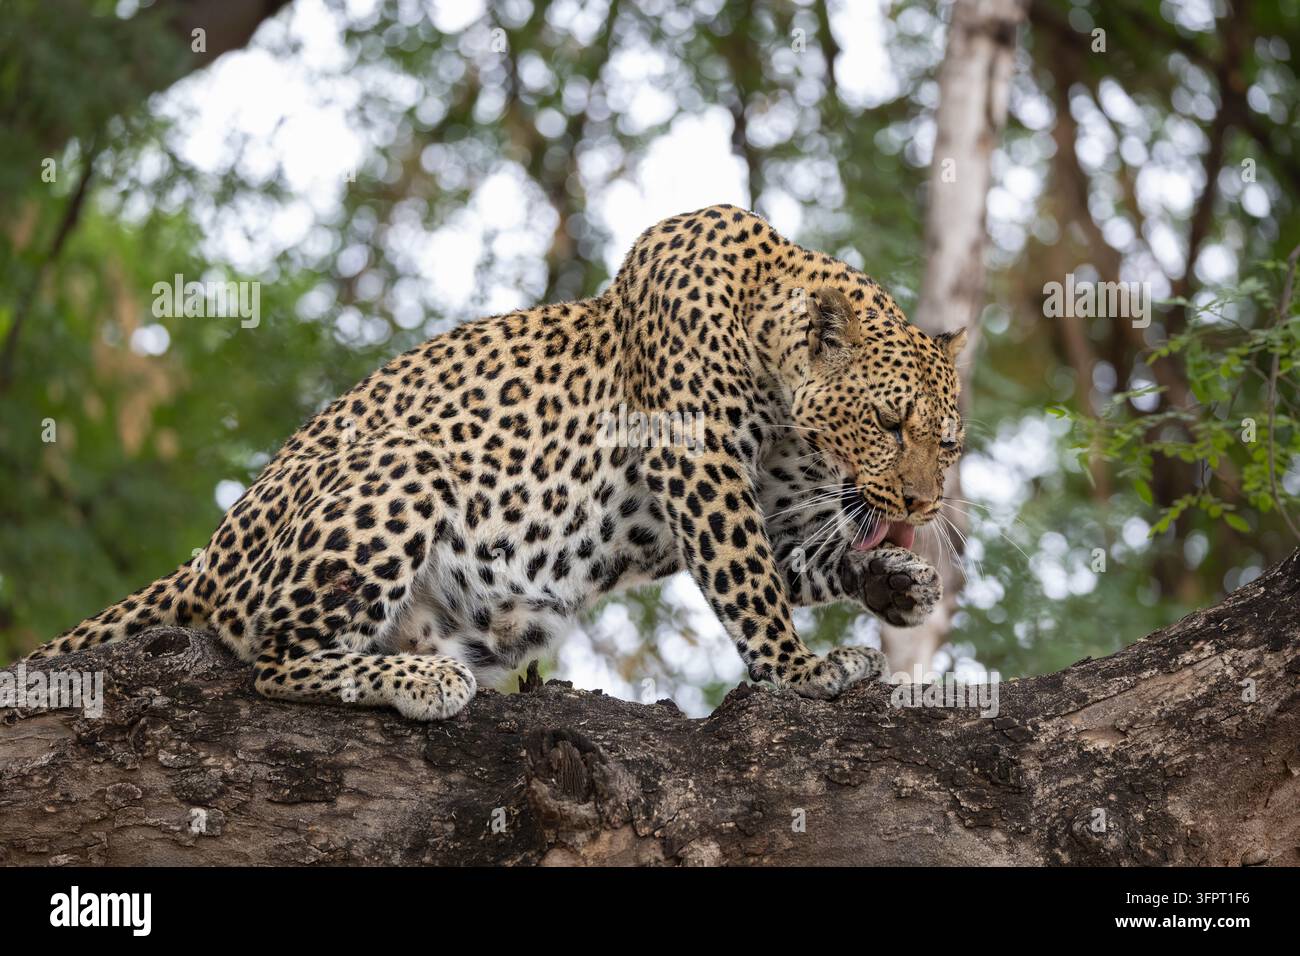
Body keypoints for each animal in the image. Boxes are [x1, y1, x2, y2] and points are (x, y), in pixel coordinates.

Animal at [23, 204, 967, 720]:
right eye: (888, 423)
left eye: (948, 444)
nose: (924, 507)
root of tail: (208, 555)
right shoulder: (698, 464)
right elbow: (749, 579)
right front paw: (801, 671)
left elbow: (796, 556)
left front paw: (896, 583)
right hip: (403, 466)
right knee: (272, 662)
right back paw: (420, 680)